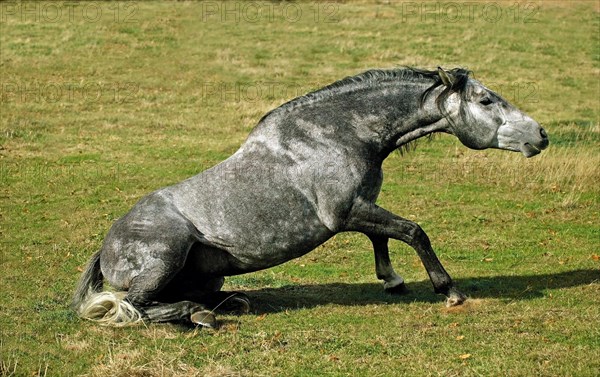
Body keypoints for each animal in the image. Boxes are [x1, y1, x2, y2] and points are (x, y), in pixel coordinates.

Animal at [71, 67, 548, 326]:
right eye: (486, 101)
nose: (540, 135)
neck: (337, 135)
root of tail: (106, 247)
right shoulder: (345, 213)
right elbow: (413, 231)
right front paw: (448, 290)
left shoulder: (361, 207)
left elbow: (383, 236)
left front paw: (391, 280)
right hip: (165, 257)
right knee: (132, 308)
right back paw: (199, 315)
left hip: (208, 274)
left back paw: (227, 303)